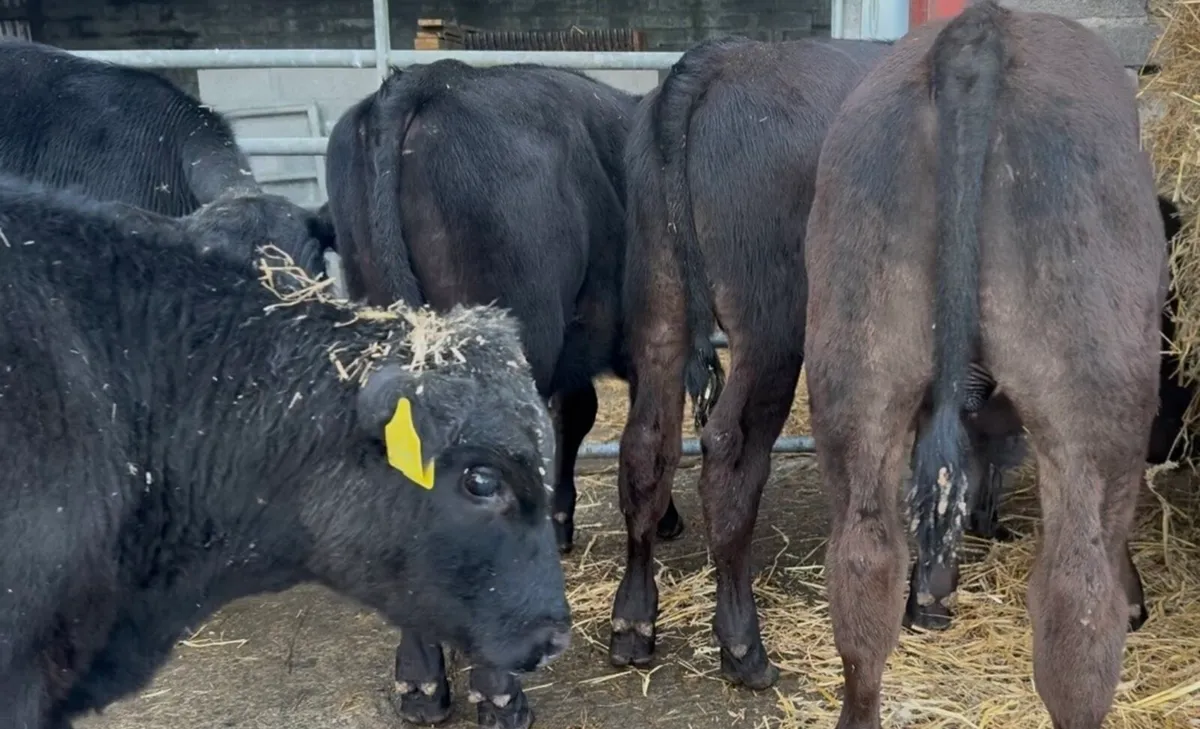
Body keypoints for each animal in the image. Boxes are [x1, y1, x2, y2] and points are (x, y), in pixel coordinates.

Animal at [614, 36, 892, 688]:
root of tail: (717, 60)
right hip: (771, 327)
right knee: (730, 455)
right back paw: (743, 643)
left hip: (659, 298)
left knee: (646, 446)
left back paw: (633, 622)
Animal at [803, 3, 1167, 727]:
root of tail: (978, 33)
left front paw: (934, 594)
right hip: (1096, 400)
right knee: (1079, 602)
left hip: (856, 368)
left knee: (863, 567)